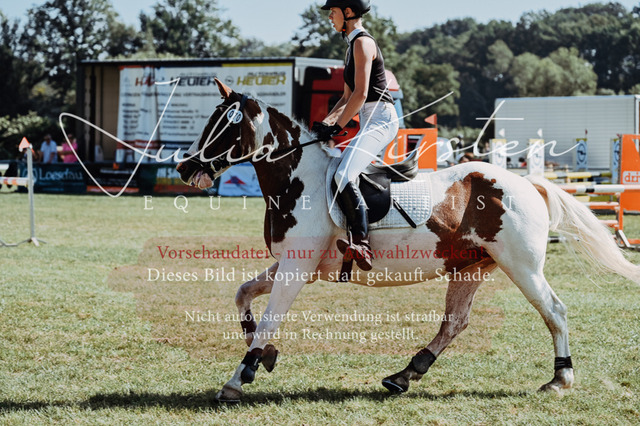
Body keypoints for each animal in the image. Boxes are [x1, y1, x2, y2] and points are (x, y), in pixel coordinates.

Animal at [176, 79, 639, 402]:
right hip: (470, 265)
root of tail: (528, 183)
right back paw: (405, 374)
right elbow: (243, 295)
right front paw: (263, 354)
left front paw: (240, 377)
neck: (296, 179)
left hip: (522, 266)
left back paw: (560, 378)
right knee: (455, 322)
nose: (183, 168)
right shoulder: (295, 265)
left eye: (223, 127)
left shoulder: (297, 267)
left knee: (554, 311)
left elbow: (270, 318)